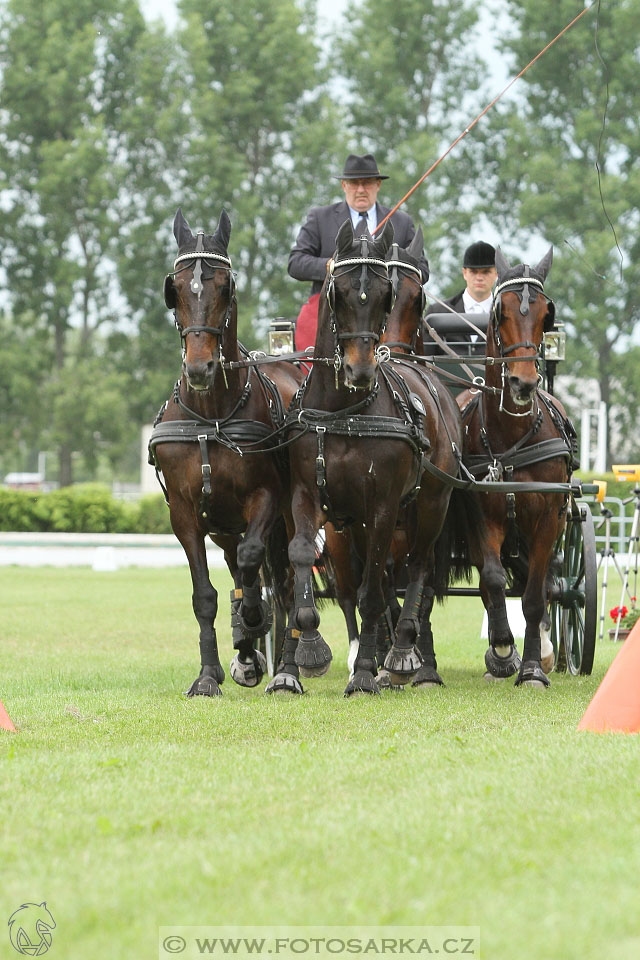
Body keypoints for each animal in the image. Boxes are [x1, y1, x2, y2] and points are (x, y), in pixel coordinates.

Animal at [150, 210, 302, 696]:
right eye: (176, 288)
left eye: (224, 287)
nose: (200, 369)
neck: (212, 416)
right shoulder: (185, 513)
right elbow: (206, 594)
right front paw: (208, 674)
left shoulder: (266, 498)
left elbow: (256, 563)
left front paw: (253, 620)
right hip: (222, 525)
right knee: (239, 570)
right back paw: (247, 656)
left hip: (291, 513)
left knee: (286, 580)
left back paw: (287, 667)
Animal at [268, 220, 460, 692]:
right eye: (336, 293)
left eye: (385, 294)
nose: (361, 369)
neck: (344, 413)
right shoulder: (306, 496)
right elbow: (304, 555)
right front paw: (310, 649)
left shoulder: (383, 506)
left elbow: (375, 590)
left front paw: (367, 673)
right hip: (351, 524)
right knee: (367, 581)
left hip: (430, 504)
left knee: (417, 568)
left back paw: (403, 652)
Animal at [456, 244, 576, 688]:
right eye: (500, 312)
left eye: (546, 314)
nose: (523, 384)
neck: (511, 437)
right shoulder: (480, 516)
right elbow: (492, 580)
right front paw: (503, 650)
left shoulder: (547, 518)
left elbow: (536, 594)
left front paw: (533, 669)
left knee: (544, 582)